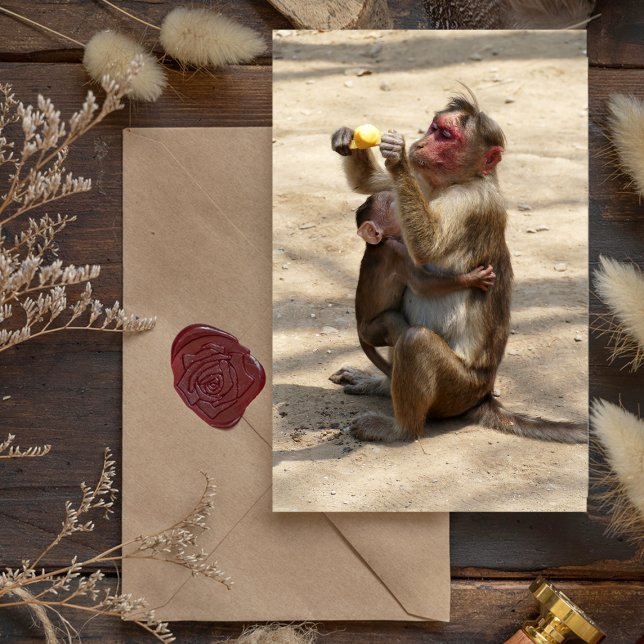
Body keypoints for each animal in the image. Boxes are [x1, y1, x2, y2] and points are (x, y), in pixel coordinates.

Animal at [350, 190, 496, 379]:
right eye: (393, 205)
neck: (382, 242)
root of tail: (358, 327)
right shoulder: (397, 252)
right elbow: (423, 285)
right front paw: (474, 278)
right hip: (370, 331)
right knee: (391, 320)